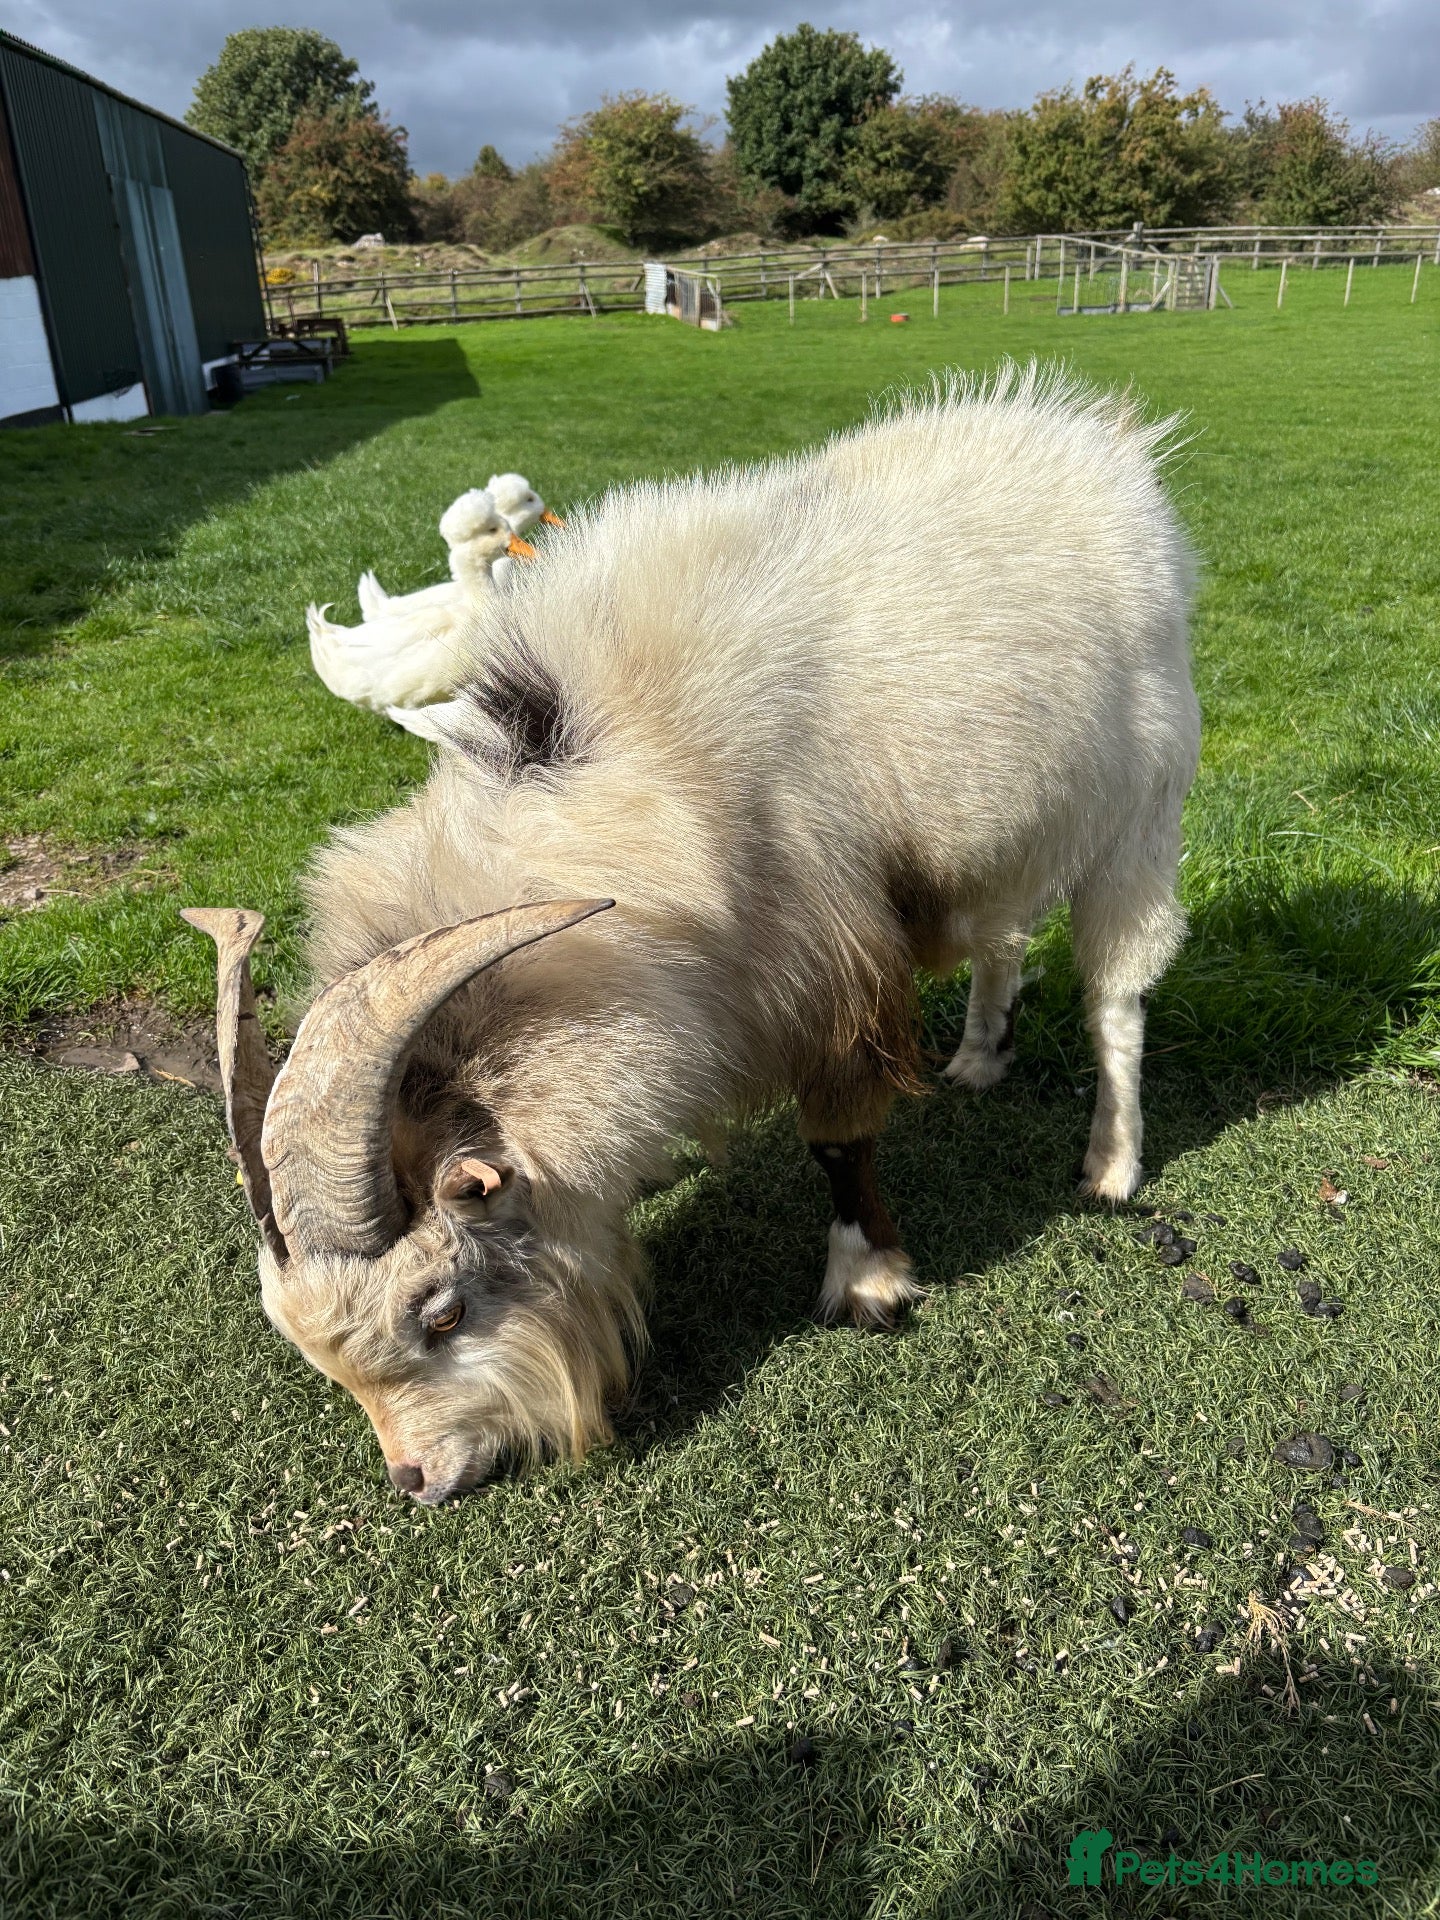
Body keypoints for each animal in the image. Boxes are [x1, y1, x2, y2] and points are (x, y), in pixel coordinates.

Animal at [187, 364, 1200, 1506]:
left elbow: (839, 1140)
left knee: (1116, 994)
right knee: (1004, 938)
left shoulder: (828, 966)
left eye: (440, 1310)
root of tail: (1099, 446)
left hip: (1139, 808)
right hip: (999, 830)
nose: (420, 1480)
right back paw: (979, 1059)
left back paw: (1110, 1164)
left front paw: (869, 1284)